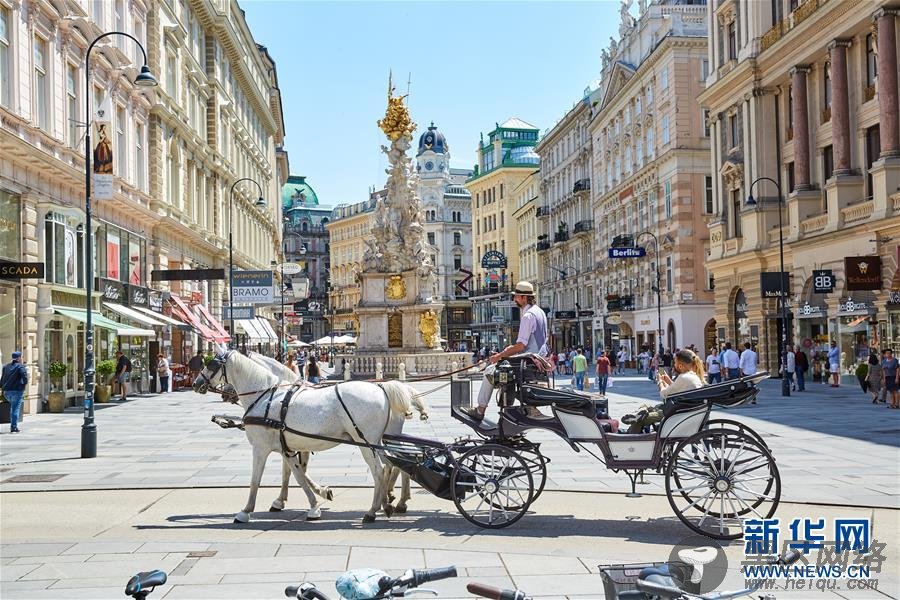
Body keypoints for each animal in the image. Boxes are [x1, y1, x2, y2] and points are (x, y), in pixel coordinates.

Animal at [195, 350, 420, 524]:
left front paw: (246, 511)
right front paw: (313, 501)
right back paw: (389, 503)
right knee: (394, 464)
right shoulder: (287, 447)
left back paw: (375, 510)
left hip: (366, 442)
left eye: (211, 364)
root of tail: (381, 388)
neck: (265, 395)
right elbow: (297, 475)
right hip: (377, 441)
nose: (197, 383)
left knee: (380, 470)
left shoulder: (260, 448)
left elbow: (256, 480)